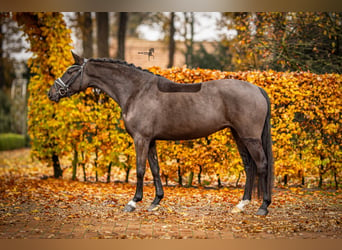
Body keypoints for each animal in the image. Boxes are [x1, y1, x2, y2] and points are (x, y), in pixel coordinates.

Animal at [48, 51, 274, 216]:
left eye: (71, 71)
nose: (51, 93)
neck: (136, 91)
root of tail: (257, 89)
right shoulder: (151, 140)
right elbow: (155, 169)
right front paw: (156, 201)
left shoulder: (141, 139)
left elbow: (140, 169)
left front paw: (133, 202)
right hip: (238, 135)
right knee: (249, 166)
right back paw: (241, 204)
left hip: (250, 138)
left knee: (262, 165)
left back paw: (263, 207)